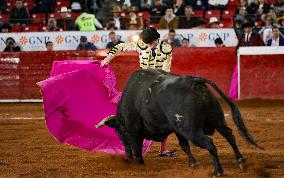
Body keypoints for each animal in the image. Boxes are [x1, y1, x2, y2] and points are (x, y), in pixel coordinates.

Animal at [96, 69, 262, 176]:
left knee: (210, 144)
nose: (127, 157)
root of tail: (194, 81)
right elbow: (183, 145)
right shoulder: (177, 130)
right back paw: (240, 160)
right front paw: (193, 164)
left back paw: (218, 171)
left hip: (191, 130)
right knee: (229, 135)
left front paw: (140, 165)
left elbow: (137, 147)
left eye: (119, 132)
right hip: (217, 119)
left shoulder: (134, 129)